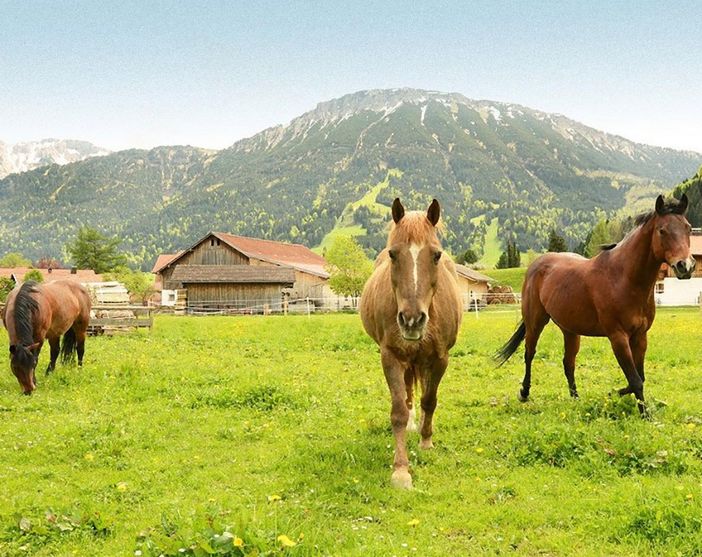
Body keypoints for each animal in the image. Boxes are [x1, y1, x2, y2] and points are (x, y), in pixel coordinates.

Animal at [360, 198, 464, 484]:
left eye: (436, 255)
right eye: (393, 254)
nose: (411, 319)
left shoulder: (440, 359)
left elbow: (430, 400)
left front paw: (426, 441)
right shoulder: (390, 356)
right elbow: (398, 411)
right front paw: (400, 469)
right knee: (407, 394)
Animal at [498, 193, 696, 414]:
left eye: (688, 228)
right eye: (662, 230)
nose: (685, 266)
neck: (623, 278)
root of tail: (536, 265)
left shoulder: (640, 336)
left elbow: (639, 378)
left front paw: (617, 396)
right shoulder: (618, 337)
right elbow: (635, 380)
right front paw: (643, 413)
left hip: (570, 330)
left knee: (568, 362)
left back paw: (576, 399)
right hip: (536, 322)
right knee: (529, 354)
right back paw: (524, 393)